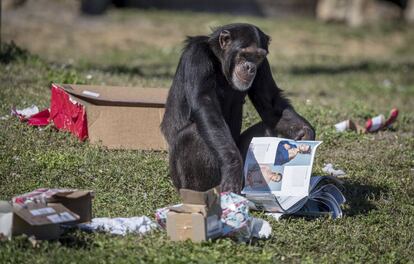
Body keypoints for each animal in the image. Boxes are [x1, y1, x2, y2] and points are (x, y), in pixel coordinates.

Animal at [160, 23, 316, 194]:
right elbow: (205, 104)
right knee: (193, 134)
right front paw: (232, 166)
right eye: (245, 54)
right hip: (180, 180)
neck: (219, 60)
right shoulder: (197, 56)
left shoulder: (263, 66)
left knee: (267, 129)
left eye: (257, 57)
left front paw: (304, 132)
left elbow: (270, 104)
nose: (250, 67)